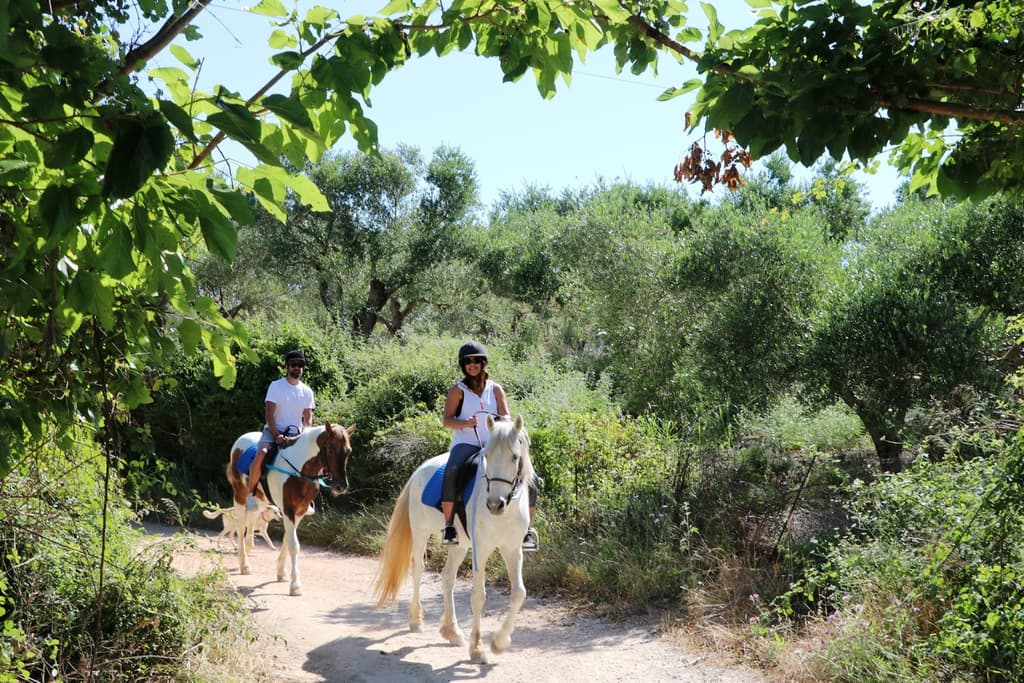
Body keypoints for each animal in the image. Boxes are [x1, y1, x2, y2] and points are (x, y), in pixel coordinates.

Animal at [226, 422, 356, 595]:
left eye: (348, 451)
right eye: (331, 449)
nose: (341, 486)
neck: (299, 471)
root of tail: (240, 440)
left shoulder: (299, 511)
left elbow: (287, 540)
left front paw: (281, 573)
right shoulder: (288, 509)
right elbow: (294, 545)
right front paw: (295, 585)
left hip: (260, 500)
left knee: (252, 519)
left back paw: (249, 548)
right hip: (239, 496)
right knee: (240, 527)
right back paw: (244, 564)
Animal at [374, 414, 536, 663]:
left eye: (515, 457)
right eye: (487, 456)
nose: (494, 505)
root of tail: (420, 470)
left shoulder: (513, 549)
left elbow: (519, 593)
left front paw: (499, 642)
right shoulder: (481, 549)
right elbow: (478, 596)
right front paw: (477, 649)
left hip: (458, 546)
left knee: (447, 577)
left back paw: (452, 631)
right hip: (420, 532)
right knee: (418, 569)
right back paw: (416, 620)